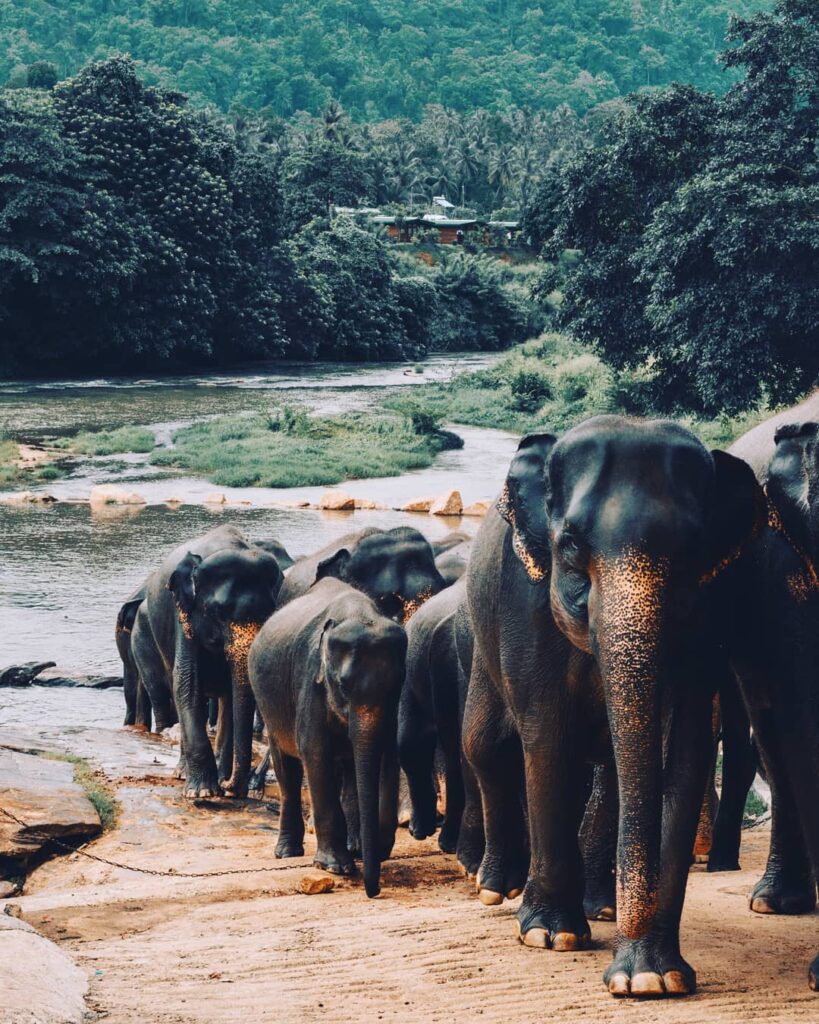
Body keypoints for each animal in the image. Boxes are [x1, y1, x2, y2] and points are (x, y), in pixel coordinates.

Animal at [132, 525, 284, 798]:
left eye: (269, 613)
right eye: (218, 613)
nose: (229, 786)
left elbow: (233, 694)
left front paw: (223, 786)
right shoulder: (182, 613)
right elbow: (186, 683)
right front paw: (202, 793)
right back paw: (184, 774)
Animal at [249, 577, 407, 898]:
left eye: (399, 682)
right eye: (343, 685)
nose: (373, 891)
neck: (360, 614)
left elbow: (385, 753)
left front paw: (365, 851)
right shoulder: (311, 680)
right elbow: (315, 753)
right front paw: (335, 867)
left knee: (348, 767)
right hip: (269, 703)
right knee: (288, 769)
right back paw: (287, 853)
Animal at [462, 416, 762, 998]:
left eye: (692, 549)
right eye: (570, 545)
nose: (625, 977)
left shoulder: (708, 615)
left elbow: (684, 753)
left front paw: (653, 977)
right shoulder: (523, 600)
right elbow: (547, 739)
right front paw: (551, 937)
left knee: (607, 770)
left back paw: (601, 907)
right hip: (482, 640)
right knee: (485, 745)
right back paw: (497, 890)